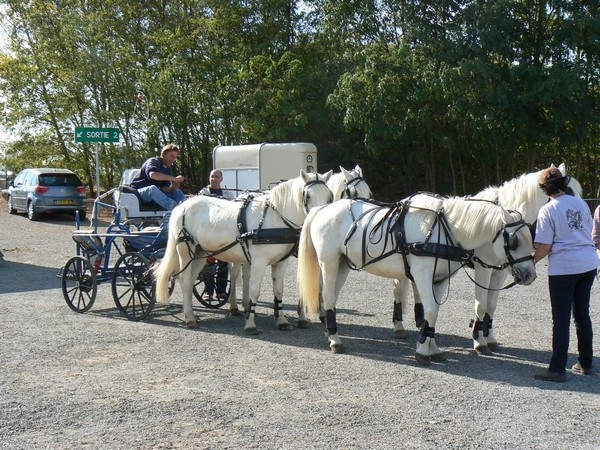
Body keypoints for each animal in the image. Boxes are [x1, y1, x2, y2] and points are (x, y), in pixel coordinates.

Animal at [155, 171, 332, 332]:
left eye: (329, 196)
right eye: (307, 195)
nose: (320, 218)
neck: (275, 219)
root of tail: (182, 206)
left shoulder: (281, 262)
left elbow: (278, 291)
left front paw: (281, 321)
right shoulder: (259, 262)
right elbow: (254, 291)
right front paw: (251, 324)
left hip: (200, 254)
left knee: (192, 280)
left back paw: (193, 313)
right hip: (186, 251)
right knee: (184, 280)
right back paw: (190, 318)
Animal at [227, 165, 372, 324]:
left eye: (330, 195)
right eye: (353, 192)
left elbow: (321, 282)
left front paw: (321, 312)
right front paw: (302, 316)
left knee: (246, 273)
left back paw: (247, 305)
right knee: (234, 273)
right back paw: (234, 306)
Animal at [298, 192, 536, 364]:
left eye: (531, 237)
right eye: (513, 241)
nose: (530, 275)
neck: (445, 229)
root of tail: (322, 209)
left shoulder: (441, 278)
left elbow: (434, 313)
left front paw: (432, 347)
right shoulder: (425, 274)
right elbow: (432, 310)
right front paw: (423, 349)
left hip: (342, 265)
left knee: (330, 296)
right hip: (329, 263)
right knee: (328, 297)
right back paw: (335, 340)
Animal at [390, 163, 580, 354]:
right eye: (569, 191)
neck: (497, 225)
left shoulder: (500, 271)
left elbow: (491, 305)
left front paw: (489, 337)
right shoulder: (484, 268)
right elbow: (481, 305)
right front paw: (479, 341)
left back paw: (420, 321)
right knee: (399, 289)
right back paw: (399, 327)